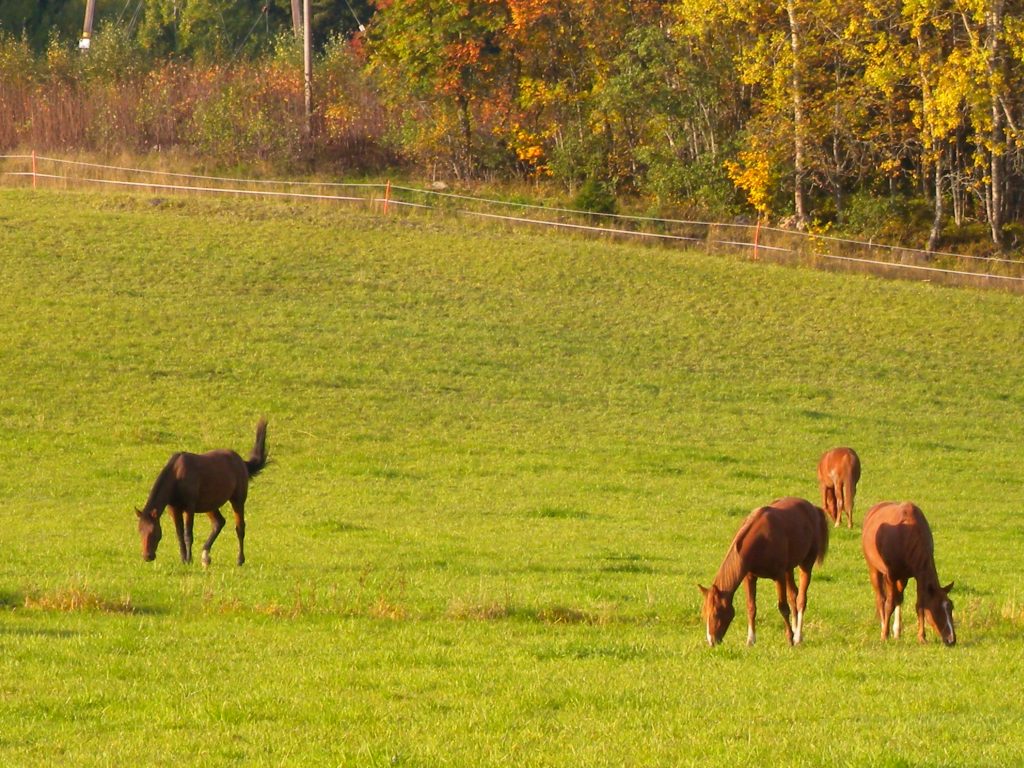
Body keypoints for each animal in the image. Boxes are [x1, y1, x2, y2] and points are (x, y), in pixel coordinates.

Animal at [136, 418, 268, 567]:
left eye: (153, 532)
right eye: (140, 531)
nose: (147, 556)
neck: (177, 476)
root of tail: (242, 462)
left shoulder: (189, 507)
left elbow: (188, 534)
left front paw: (189, 559)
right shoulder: (174, 509)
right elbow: (179, 534)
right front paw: (183, 559)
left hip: (238, 500)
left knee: (240, 528)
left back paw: (240, 560)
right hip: (210, 505)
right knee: (218, 523)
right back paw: (206, 556)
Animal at [699, 497, 829, 646]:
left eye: (715, 613)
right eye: (704, 614)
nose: (711, 641)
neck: (761, 540)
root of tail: (813, 508)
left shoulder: (779, 576)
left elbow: (783, 607)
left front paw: (789, 638)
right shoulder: (749, 577)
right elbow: (751, 607)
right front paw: (750, 640)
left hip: (805, 564)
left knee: (801, 599)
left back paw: (797, 636)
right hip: (789, 569)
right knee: (793, 596)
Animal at [861, 501, 955, 645]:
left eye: (951, 607)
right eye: (937, 609)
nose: (951, 639)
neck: (905, 535)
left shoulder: (918, 576)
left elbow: (920, 605)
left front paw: (922, 637)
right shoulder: (890, 577)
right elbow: (889, 604)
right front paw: (884, 635)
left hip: (902, 578)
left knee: (898, 598)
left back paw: (897, 631)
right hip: (874, 570)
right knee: (881, 598)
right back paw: (884, 627)